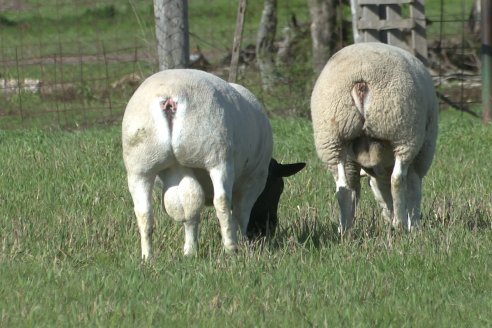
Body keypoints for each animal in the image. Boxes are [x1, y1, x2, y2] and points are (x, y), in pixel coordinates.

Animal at [123, 69, 304, 258]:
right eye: (278, 189)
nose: (267, 230)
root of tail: (170, 97)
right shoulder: (255, 179)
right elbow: (240, 213)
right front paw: (243, 244)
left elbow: (190, 212)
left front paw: (190, 251)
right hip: (217, 157)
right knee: (222, 201)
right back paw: (231, 248)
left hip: (140, 165)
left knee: (144, 212)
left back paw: (148, 257)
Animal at [312, 42, 438, 232]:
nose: (388, 216)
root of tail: (361, 83)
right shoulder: (422, 156)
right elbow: (414, 189)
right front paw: (414, 225)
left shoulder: (352, 163)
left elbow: (354, 189)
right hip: (403, 131)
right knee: (397, 179)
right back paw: (400, 224)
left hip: (331, 138)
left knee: (342, 187)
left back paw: (344, 230)